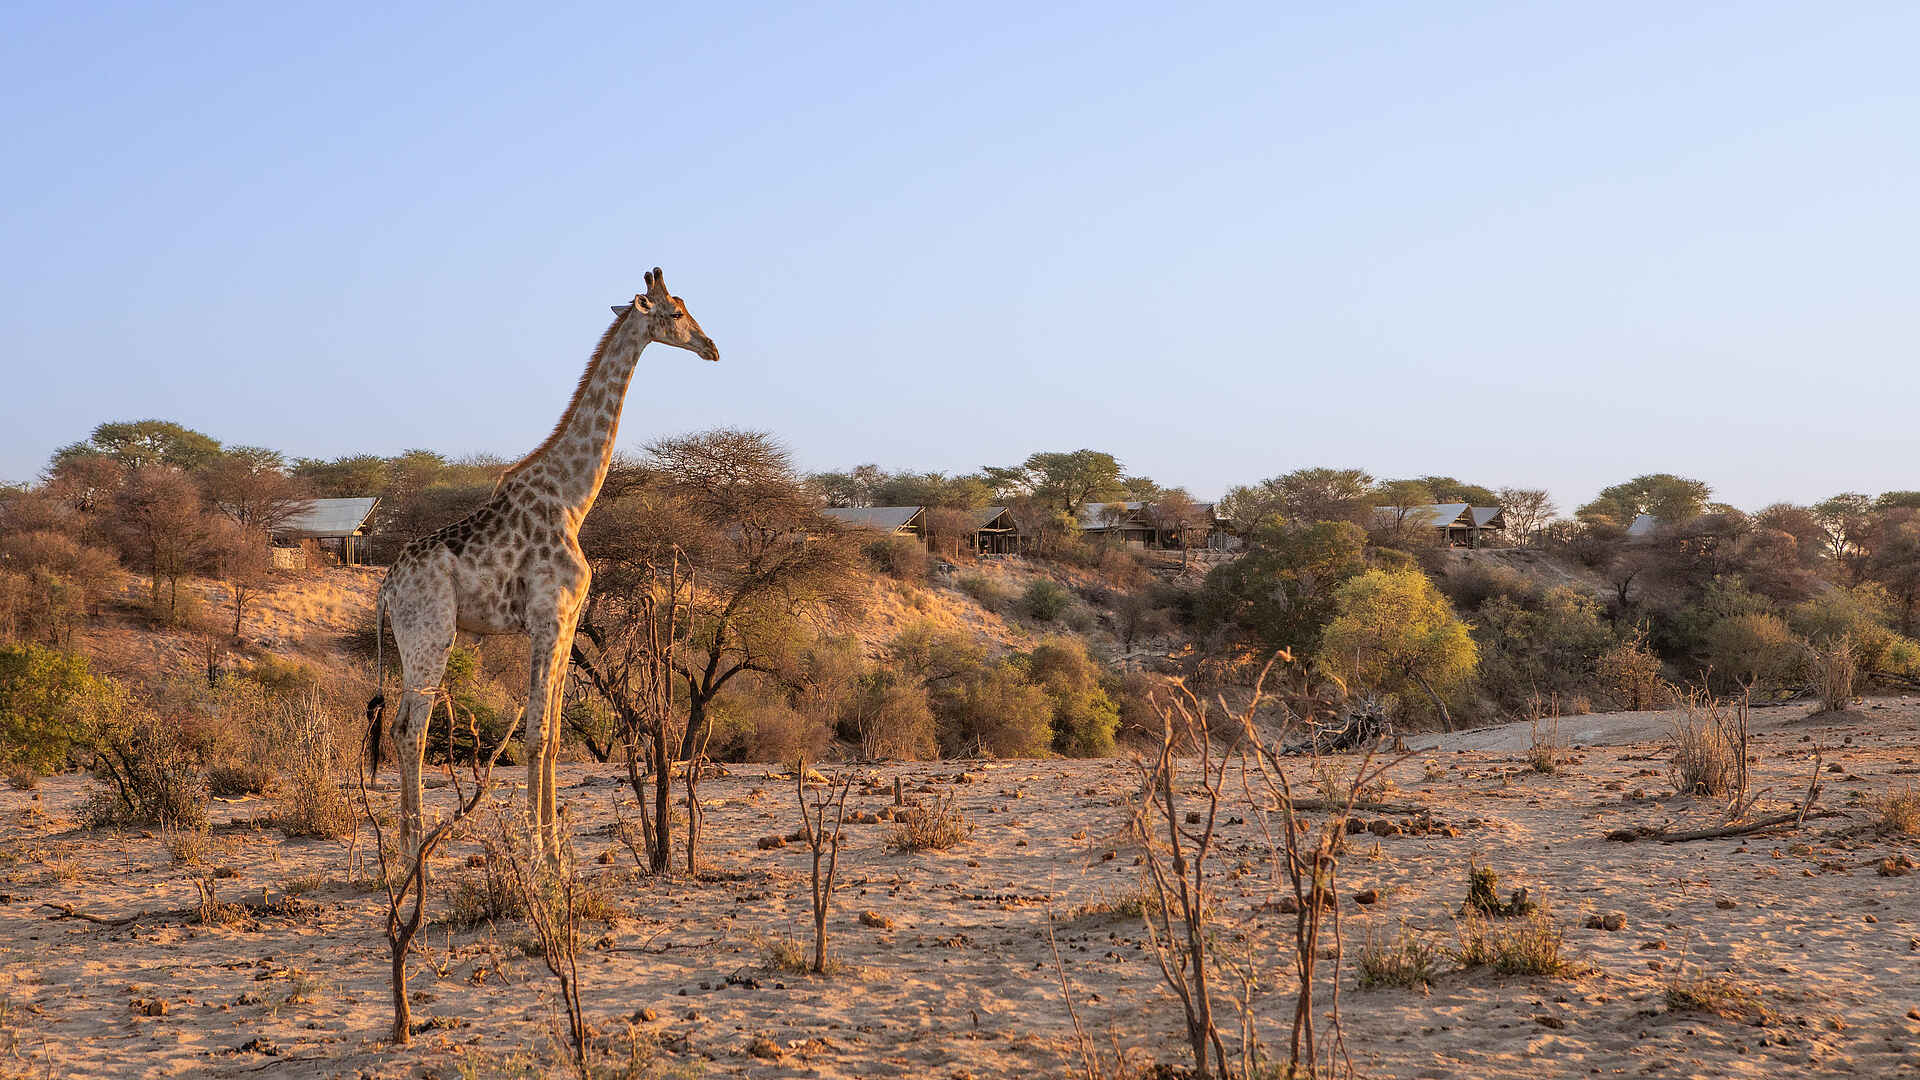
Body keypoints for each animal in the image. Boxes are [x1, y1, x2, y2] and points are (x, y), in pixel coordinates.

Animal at [367, 267, 717, 865]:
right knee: (411, 729)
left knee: (399, 727)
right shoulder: (547, 618)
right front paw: (537, 852)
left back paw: (410, 851)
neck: (573, 499)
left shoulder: (569, 621)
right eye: (675, 314)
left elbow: (552, 734)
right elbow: (535, 735)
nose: (712, 347)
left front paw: (556, 850)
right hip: (431, 635)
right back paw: (413, 854)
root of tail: (387, 587)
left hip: (415, 640)